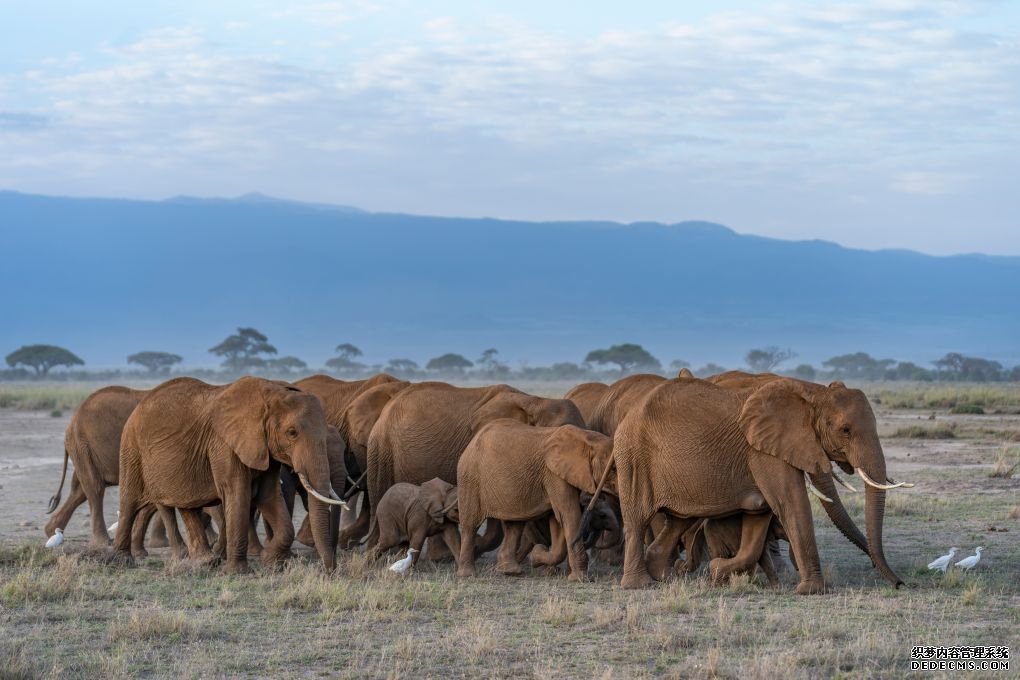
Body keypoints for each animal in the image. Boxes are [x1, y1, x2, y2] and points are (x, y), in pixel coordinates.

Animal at [44, 385, 170, 553]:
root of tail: (72, 422)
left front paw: (161, 544)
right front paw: (160, 544)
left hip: (83, 449)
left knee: (79, 490)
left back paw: (52, 531)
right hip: (83, 445)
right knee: (94, 487)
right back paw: (103, 543)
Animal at [113, 377, 347, 573]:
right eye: (292, 433)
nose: (329, 571)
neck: (271, 392)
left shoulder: (264, 450)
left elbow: (268, 497)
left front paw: (270, 562)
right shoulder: (224, 445)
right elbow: (238, 494)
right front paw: (238, 572)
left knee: (187, 505)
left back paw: (205, 562)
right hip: (131, 447)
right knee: (130, 501)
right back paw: (122, 561)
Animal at [456, 419, 615, 580]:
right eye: (613, 469)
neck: (586, 438)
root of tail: (472, 441)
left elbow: (557, 520)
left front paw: (537, 557)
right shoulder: (554, 475)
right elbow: (569, 515)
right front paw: (580, 579)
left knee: (514, 526)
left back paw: (510, 571)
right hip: (470, 478)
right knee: (470, 524)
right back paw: (468, 574)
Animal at [611, 375, 910, 593]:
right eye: (845, 430)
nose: (900, 584)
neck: (812, 393)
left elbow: (759, 514)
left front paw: (718, 571)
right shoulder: (763, 452)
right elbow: (790, 503)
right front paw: (814, 590)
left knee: (678, 520)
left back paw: (665, 576)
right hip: (633, 457)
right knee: (637, 518)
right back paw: (640, 585)